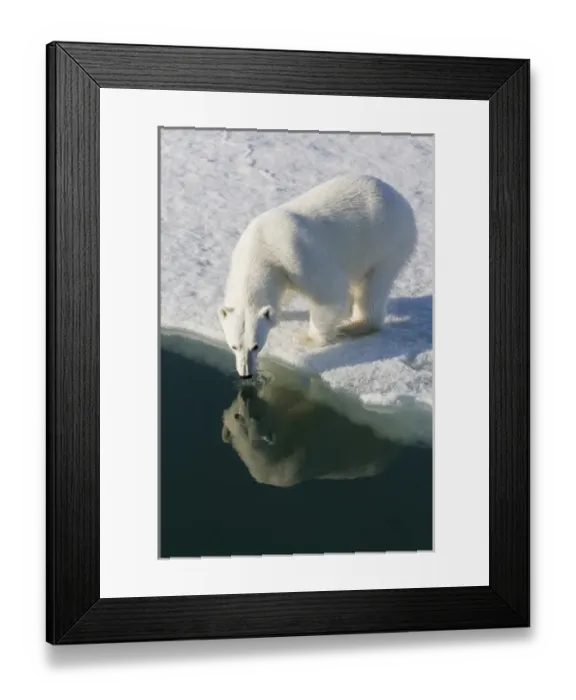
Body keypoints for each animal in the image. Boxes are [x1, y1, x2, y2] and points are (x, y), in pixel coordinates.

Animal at [218, 174, 418, 378]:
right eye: (234, 346)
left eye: (256, 346)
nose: (246, 373)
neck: (261, 244)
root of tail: (401, 200)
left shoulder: (295, 255)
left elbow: (330, 293)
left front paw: (307, 339)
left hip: (385, 242)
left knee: (372, 286)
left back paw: (354, 325)